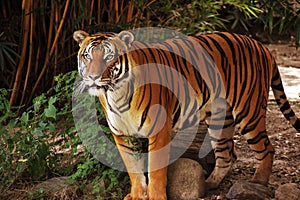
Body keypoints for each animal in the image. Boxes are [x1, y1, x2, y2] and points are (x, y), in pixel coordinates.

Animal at [73, 29, 300, 200]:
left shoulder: (159, 131)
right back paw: (208, 185)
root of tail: (261, 45)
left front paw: (155, 197)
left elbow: (155, 170)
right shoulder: (122, 135)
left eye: (109, 57)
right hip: (220, 119)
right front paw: (137, 195)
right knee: (227, 154)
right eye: (87, 56)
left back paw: (257, 183)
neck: (115, 94)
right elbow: (133, 169)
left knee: (267, 148)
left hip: (248, 112)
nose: (92, 77)